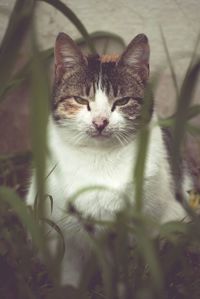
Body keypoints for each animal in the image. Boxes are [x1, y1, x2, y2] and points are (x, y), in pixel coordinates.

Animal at [26, 32, 192, 288]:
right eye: (80, 99)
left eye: (122, 101)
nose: (100, 122)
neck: (100, 159)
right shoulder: (65, 234)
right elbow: (70, 273)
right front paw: (70, 288)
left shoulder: (141, 228)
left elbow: (129, 273)